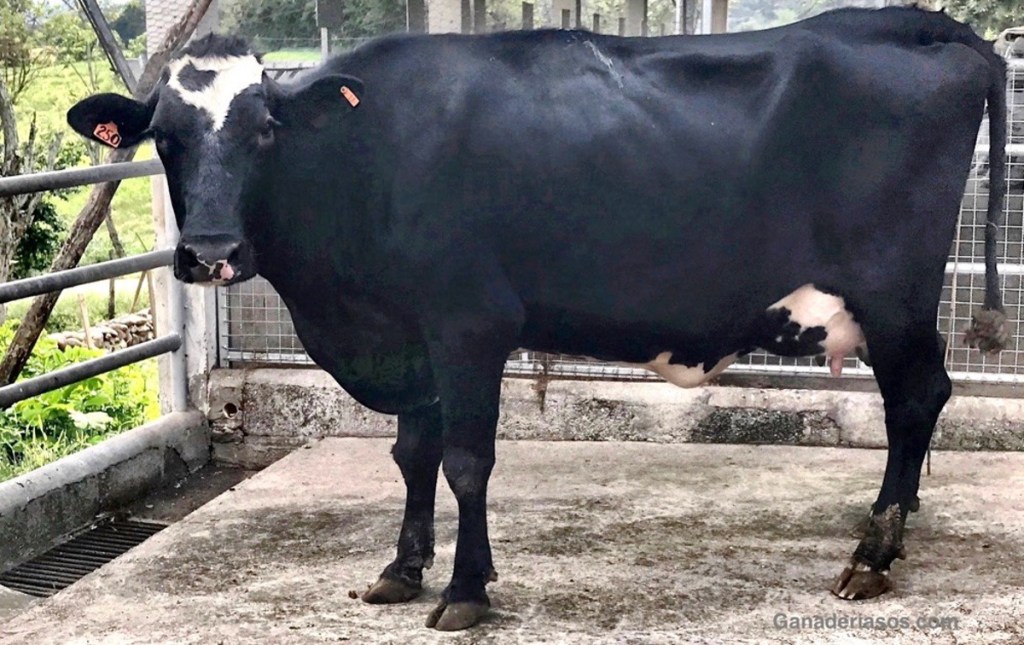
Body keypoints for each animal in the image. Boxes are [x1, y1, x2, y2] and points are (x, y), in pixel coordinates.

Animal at [67, 6, 1007, 631]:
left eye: (266, 129)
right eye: (165, 137)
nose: (211, 251)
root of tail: (914, 22)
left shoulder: (468, 323)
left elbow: (466, 461)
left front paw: (465, 590)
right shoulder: (409, 338)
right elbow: (412, 455)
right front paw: (404, 568)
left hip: (893, 294)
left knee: (918, 398)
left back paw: (872, 551)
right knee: (922, 403)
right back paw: (900, 522)